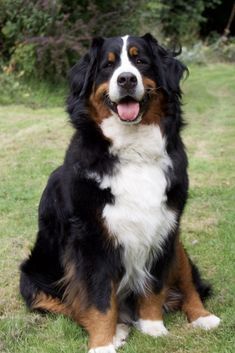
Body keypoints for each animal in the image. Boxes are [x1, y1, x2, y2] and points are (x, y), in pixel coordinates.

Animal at [19, 33, 220, 352]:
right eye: (108, 65)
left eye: (141, 61)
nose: (126, 79)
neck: (133, 151)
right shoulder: (92, 239)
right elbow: (98, 299)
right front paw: (103, 343)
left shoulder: (163, 228)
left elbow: (154, 285)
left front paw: (153, 328)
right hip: (31, 277)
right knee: (70, 304)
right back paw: (119, 328)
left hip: (178, 246)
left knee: (189, 283)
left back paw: (202, 316)